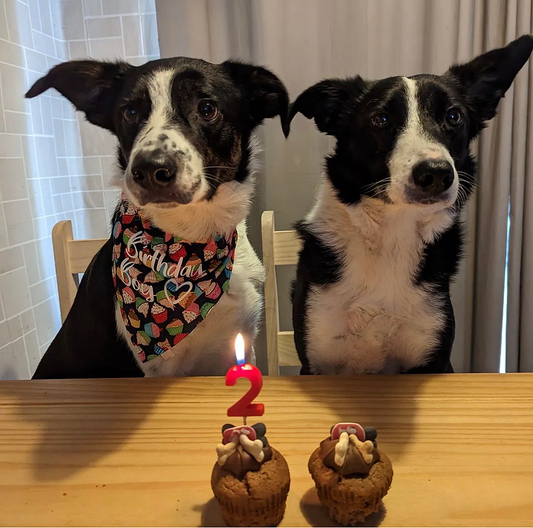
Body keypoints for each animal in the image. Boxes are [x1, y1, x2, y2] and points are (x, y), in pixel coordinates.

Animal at [27, 58, 288, 380]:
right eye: (130, 112)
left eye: (206, 108)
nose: (150, 169)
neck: (190, 239)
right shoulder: (161, 371)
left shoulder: (240, 344)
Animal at [286, 36, 532, 376]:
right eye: (381, 119)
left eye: (453, 116)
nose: (436, 174)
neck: (391, 236)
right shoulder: (316, 362)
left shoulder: (433, 360)